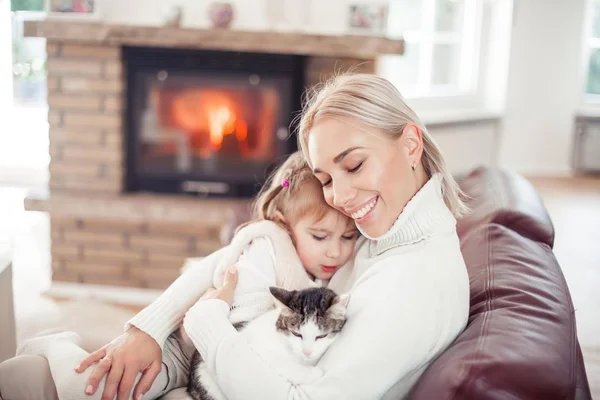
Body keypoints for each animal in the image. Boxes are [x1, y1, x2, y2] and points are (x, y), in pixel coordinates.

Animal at [185, 286, 350, 400]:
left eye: (321, 336)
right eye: (297, 334)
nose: (307, 352)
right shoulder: (257, 348)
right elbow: (282, 364)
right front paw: (313, 373)